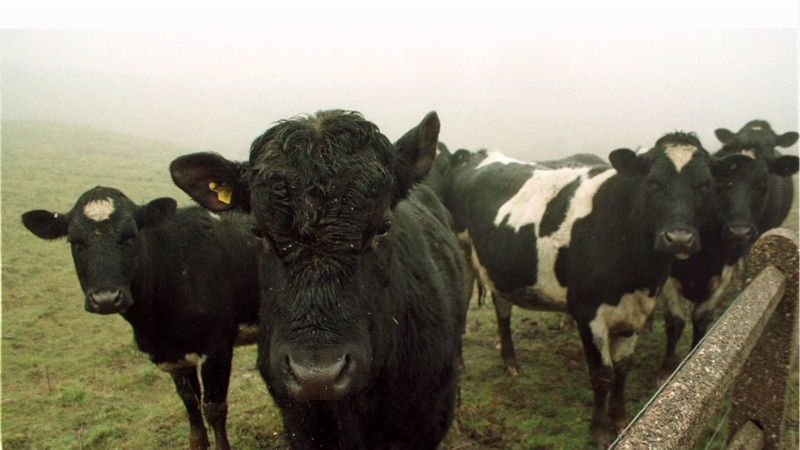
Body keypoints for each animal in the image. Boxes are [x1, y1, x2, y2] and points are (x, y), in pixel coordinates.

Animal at [21, 185, 260, 450]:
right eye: (75, 242)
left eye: (131, 236)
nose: (105, 298)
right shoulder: (173, 356)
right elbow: (191, 405)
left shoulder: (217, 346)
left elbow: (214, 409)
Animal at [428, 132, 716, 448]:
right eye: (652, 181)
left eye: (705, 184)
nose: (679, 238)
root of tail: (479, 156)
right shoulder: (588, 311)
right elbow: (603, 374)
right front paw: (598, 433)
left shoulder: (635, 311)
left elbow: (623, 368)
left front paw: (619, 419)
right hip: (462, 255)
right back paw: (461, 362)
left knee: (502, 309)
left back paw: (510, 361)